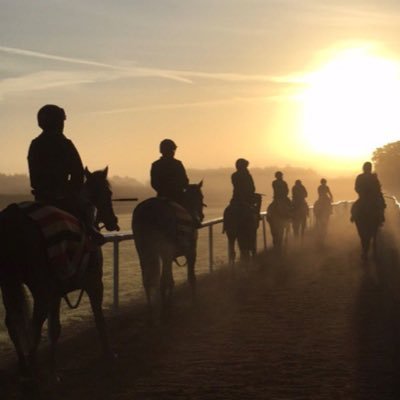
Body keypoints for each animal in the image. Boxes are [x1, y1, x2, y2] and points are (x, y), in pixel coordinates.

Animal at [0, 167, 119, 380]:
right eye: (109, 192)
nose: (114, 221)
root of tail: (11, 217)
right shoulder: (94, 282)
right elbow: (99, 318)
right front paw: (109, 354)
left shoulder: (55, 291)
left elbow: (55, 329)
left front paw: (53, 369)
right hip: (39, 288)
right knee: (34, 325)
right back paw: (32, 371)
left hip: (8, 283)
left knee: (13, 322)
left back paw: (24, 366)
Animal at [132, 183, 205, 320]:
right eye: (201, 196)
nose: (201, 217)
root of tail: (149, 209)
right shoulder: (191, 252)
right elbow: (191, 277)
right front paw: (194, 301)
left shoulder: (170, 257)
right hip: (165, 250)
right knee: (164, 281)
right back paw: (164, 309)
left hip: (143, 251)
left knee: (147, 281)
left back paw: (152, 309)